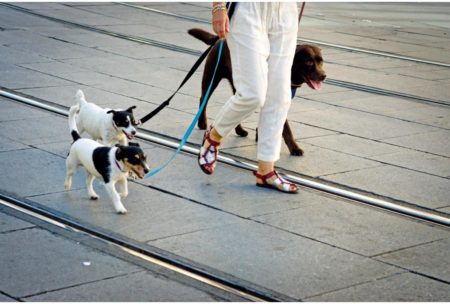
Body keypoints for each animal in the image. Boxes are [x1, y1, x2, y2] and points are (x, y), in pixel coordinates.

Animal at [188, 27, 326, 156]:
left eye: (321, 61)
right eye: (309, 62)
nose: (324, 76)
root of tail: (221, 38)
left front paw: (261, 136)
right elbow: (286, 130)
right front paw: (294, 148)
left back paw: (239, 130)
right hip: (212, 76)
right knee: (203, 99)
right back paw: (202, 122)